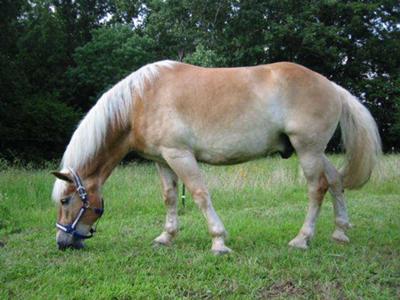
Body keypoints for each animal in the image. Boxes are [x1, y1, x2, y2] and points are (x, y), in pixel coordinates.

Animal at [52, 60, 382, 253]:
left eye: (66, 200)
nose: (62, 242)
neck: (140, 101)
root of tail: (332, 86)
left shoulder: (180, 155)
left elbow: (199, 194)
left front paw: (219, 241)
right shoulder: (163, 160)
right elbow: (170, 198)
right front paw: (166, 237)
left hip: (308, 149)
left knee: (317, 188)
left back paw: (302, 239)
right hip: (315, 150)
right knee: (336, 181)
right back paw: (340, 232)